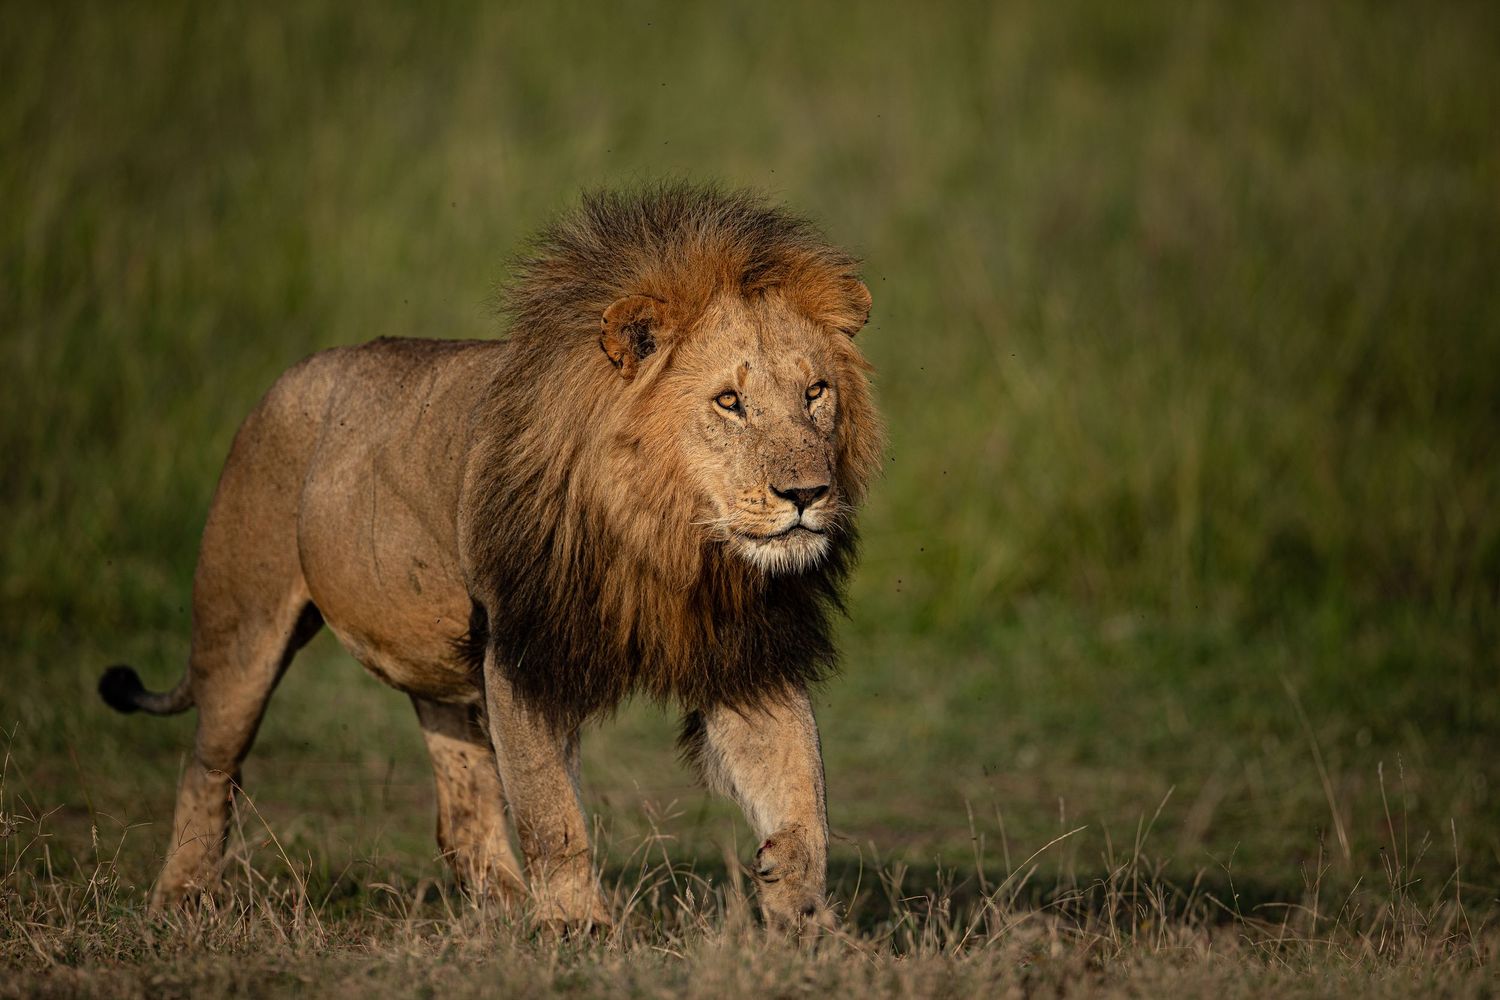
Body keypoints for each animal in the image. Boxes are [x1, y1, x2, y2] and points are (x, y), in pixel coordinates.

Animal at [98, 183, 882, 930]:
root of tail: (284, 383)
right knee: (208, 768)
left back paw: (501, 908)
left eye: (815, 392)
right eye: (729, 402)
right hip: (242, 629)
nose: (807, 493)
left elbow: (802, 789)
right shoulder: (520, 653)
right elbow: (551, 815)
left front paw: (798, 908)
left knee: (461, 810)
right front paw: (575, 927)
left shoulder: (745, 653)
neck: (670, 542)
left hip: (440, 668)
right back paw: (180, 899)